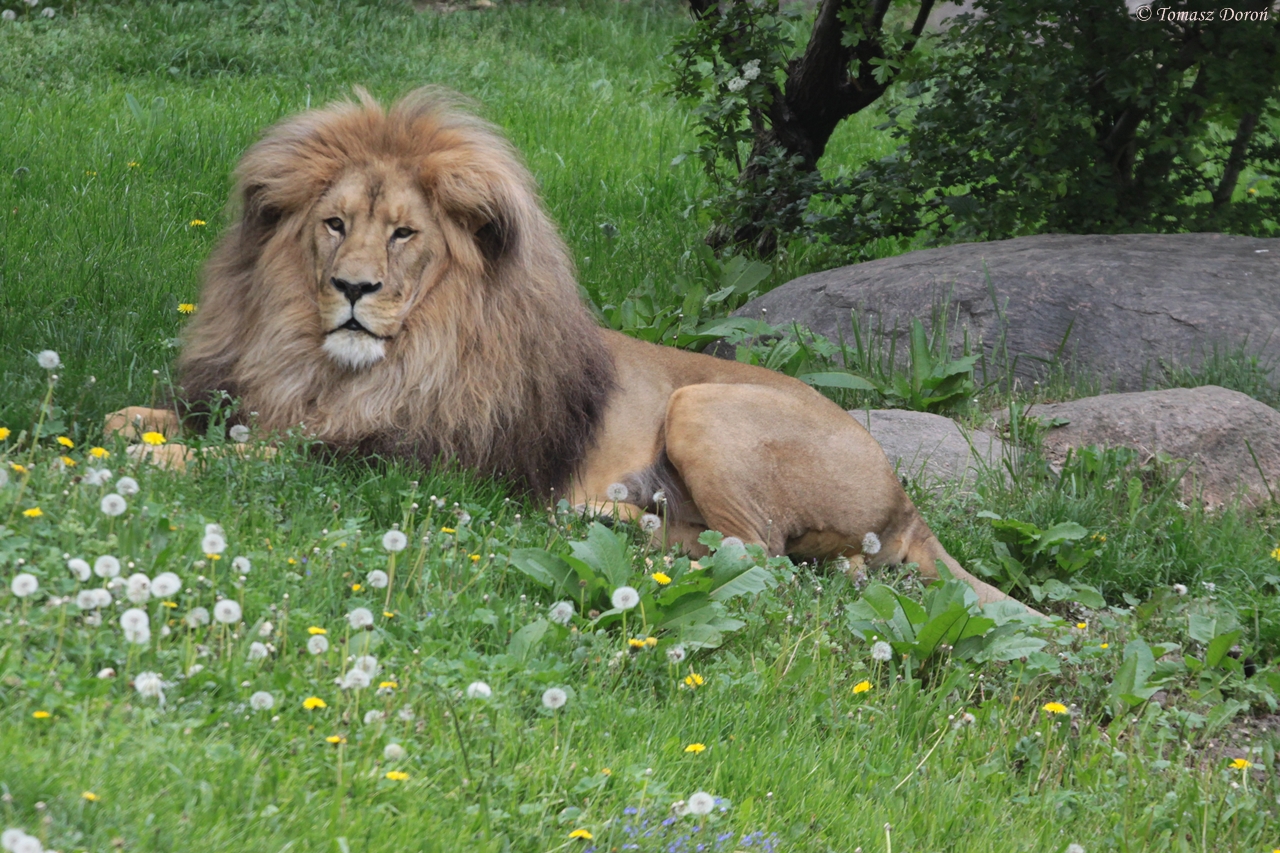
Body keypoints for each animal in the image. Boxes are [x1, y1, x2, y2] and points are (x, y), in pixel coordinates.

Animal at [107, 87, 1028, 612]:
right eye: (333, 224)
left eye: (404, 234)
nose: (354, 289)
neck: (333, 368)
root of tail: (907, 497)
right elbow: (151, 421)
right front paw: (134, 430)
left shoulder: (392, 460)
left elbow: (251, 457)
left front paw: (134, 459)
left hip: (703, 404)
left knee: (762, 556)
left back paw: (605, 521)